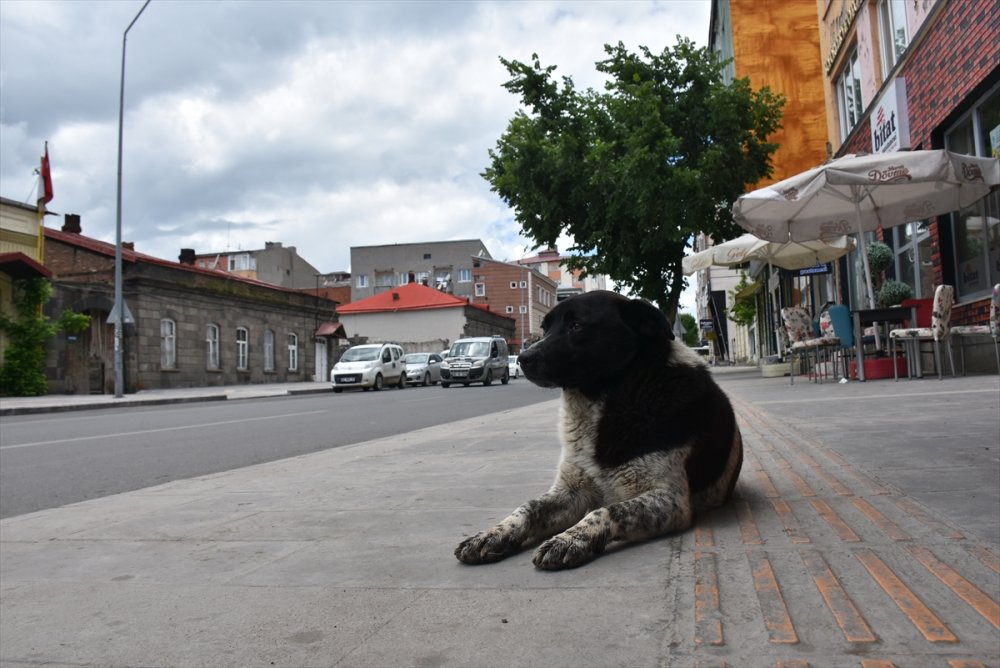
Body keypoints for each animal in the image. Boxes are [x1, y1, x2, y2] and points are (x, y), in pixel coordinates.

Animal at [454, 290, 744, 572]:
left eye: (576, 326)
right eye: (545, 328)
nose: (523, 359)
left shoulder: (670, 499)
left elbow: (606, 510)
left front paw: (569, 539)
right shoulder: (572, 491)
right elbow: (528, 507)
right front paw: (493, 534)